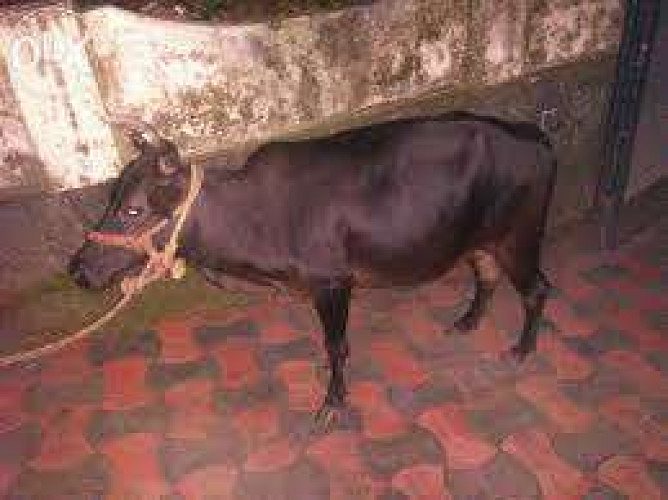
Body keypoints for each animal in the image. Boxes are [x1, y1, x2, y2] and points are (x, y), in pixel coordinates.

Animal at [69, 111, 556, 422]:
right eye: (111, 197)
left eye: (134, 209)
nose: (79, 270)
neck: (258, 215)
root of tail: (531, 134)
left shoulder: (332, 283)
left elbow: (335, 345)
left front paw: (333, 403)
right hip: (478, 240)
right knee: (486, 276)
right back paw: (468, 322)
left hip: (518, 237)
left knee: (537, 289)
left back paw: (522, 349)